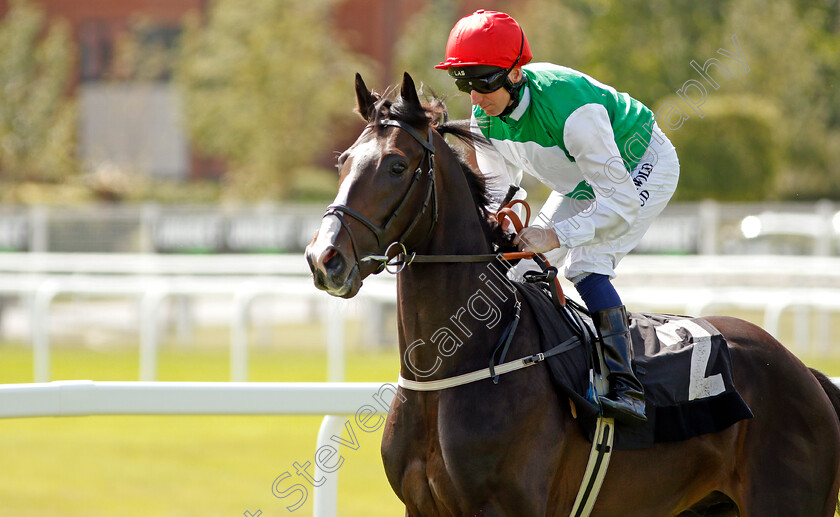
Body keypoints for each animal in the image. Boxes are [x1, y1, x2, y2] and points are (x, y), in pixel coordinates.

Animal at [306, 72, 840, 516]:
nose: (324, 258)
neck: (455, 369)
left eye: (397, 166)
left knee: (595, 254)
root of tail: (805, 372)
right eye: (343, 161)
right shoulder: (421, 508)